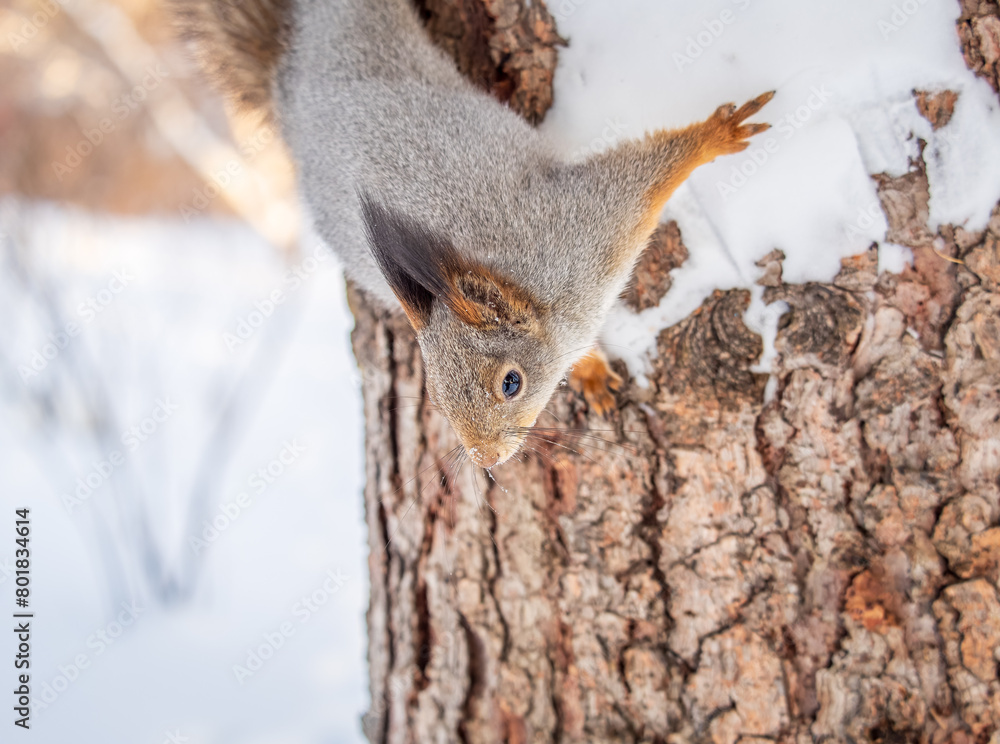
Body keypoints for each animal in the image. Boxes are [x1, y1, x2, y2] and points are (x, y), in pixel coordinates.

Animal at [175, 0, 774, 468]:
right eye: (436, 401)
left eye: (512, 383)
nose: (485, 460)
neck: (547, 299)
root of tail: (292, 80)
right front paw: (590, 372)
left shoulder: (587, 227)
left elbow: (649, 171)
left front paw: (716, 134)